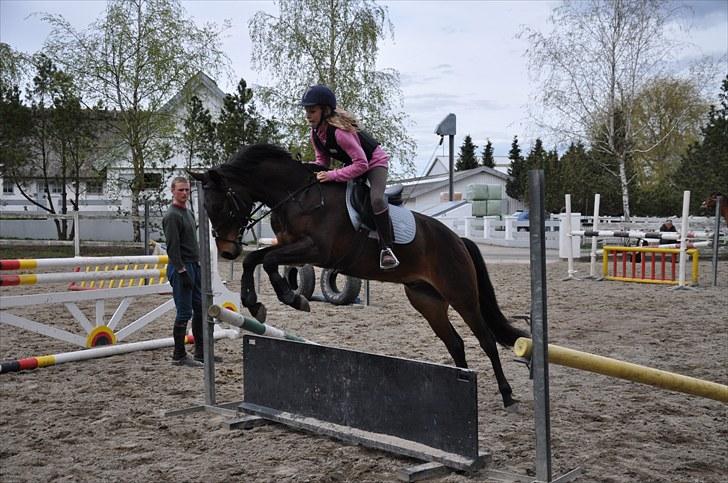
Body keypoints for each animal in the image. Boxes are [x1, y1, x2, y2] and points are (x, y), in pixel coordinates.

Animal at [188, 144, 528, 408]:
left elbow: (269, 261)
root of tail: (458, 240)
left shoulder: (315, 250)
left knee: (485, 339)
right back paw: (459, 386)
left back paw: (507, 395)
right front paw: (256, 302)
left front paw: (292, 298)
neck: (297, 196)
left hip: (461, 294)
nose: (227, 251)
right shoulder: (289, 246)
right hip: (426, 299)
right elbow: (256, 260)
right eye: (208, 208)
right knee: (455, 343)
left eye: (222, 206)